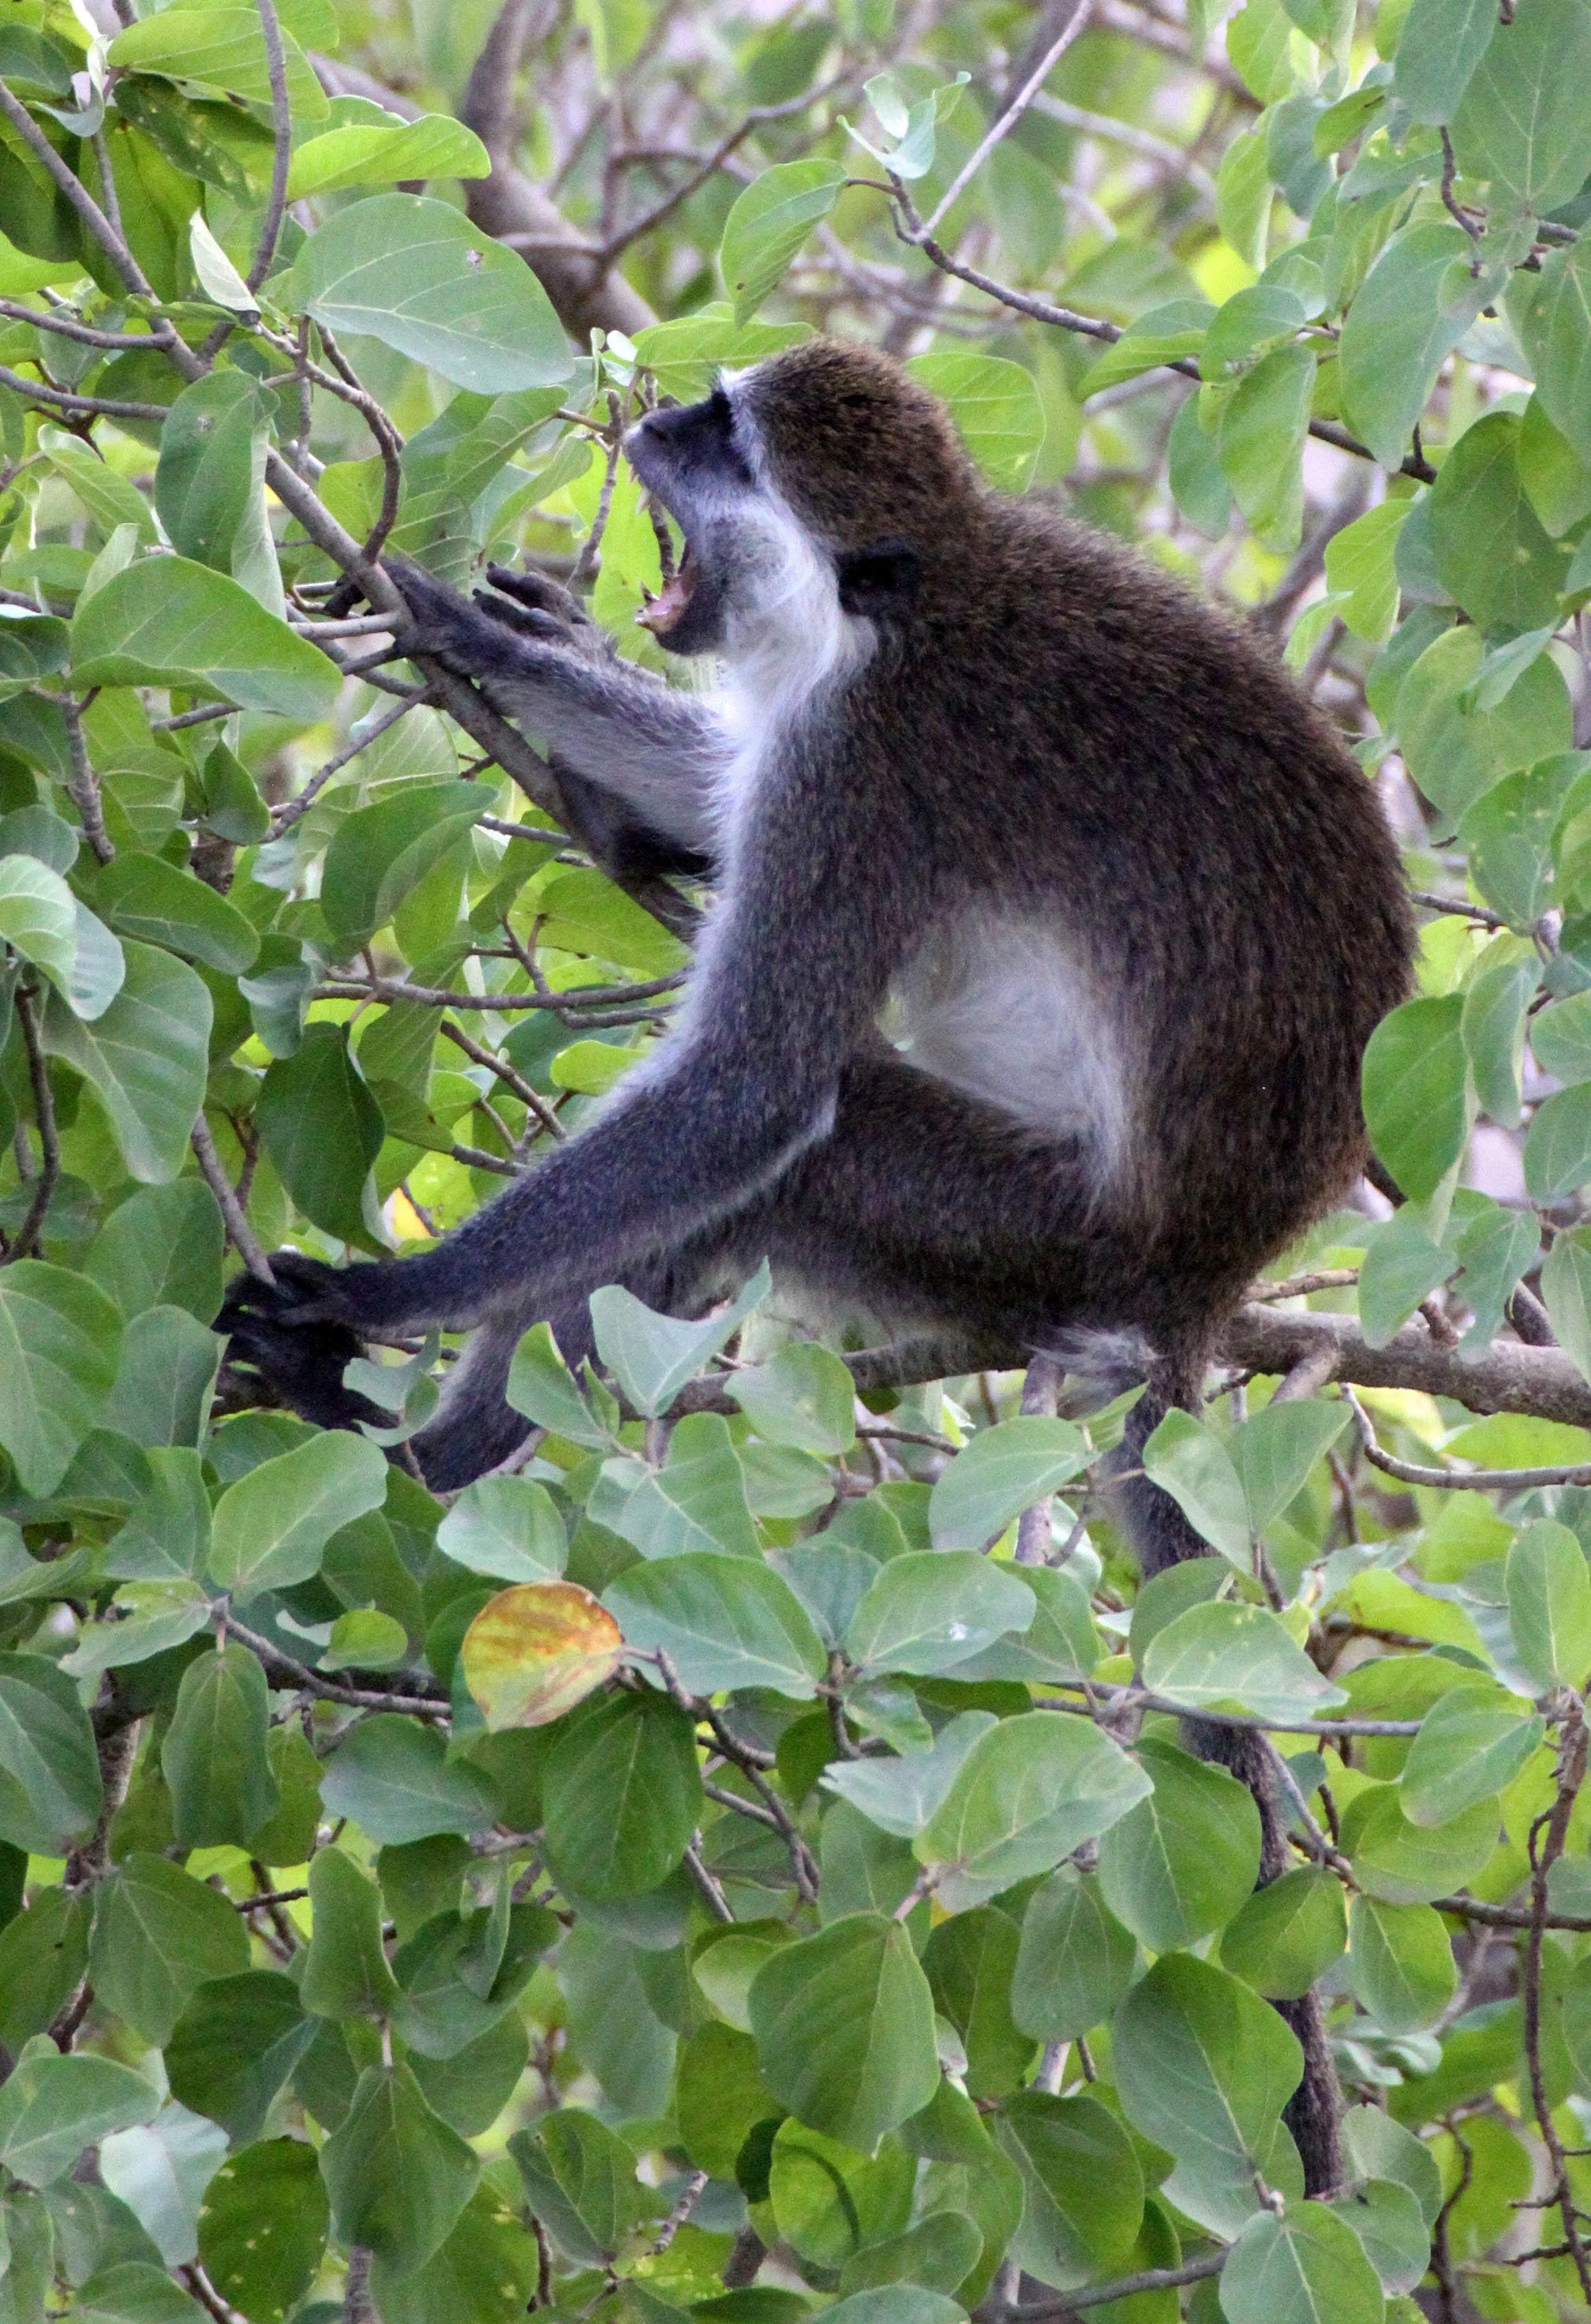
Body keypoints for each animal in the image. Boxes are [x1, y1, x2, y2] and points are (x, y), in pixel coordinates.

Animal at [223, 338, 1415, 2190]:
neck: (908, 612)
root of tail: (1197, 1286)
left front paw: (379, 1305)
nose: (648, 419)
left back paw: (434, 1458)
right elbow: (715, 794)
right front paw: (485, 634)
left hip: (1028, 1227)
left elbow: (753, 1086)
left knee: (802, 1155)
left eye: (725, 444)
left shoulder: (863, 772)